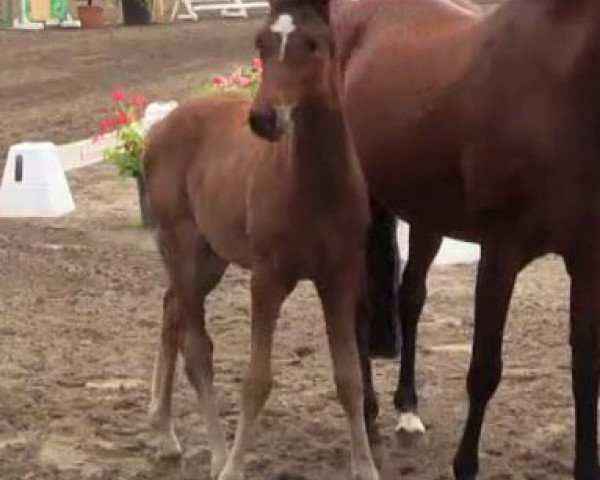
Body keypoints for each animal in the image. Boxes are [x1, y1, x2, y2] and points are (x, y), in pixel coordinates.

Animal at [143, 0, 378, 476]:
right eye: (260, 42)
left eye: (314, 44)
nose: (264, 118)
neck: (314, 185)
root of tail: (158, 129)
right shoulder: (267, 278)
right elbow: (256, 380)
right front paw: (234, 466)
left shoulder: (341, 277)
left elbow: (348, 377)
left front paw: (365, 466)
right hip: (184, 251)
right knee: (198, 352)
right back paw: (216, 455)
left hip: (208, 260)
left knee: (170, 312)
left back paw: (165, 434)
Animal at [296, 0, 600, 478]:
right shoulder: (500, 254)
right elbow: (485, 370)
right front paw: (465, 465)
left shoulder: (588, 261)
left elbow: (585, 374)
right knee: (359, 308)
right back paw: (369, 412)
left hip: (427, 218)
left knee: (410, 298)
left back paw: (408, 410)